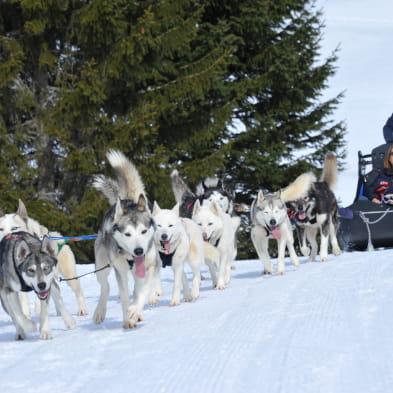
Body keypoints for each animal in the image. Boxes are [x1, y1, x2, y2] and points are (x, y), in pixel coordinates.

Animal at [92, 149, 159, 328]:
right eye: (127, 234)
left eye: (143, 231)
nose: (139, 250)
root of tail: (128, 200)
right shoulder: (120, 271)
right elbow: (123, 296)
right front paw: (128, 320)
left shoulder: (149, 267)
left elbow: (142, 292)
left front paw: (135, 311)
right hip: (101, 265)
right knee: (105, 287)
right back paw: (99, 312)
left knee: (136, 289)